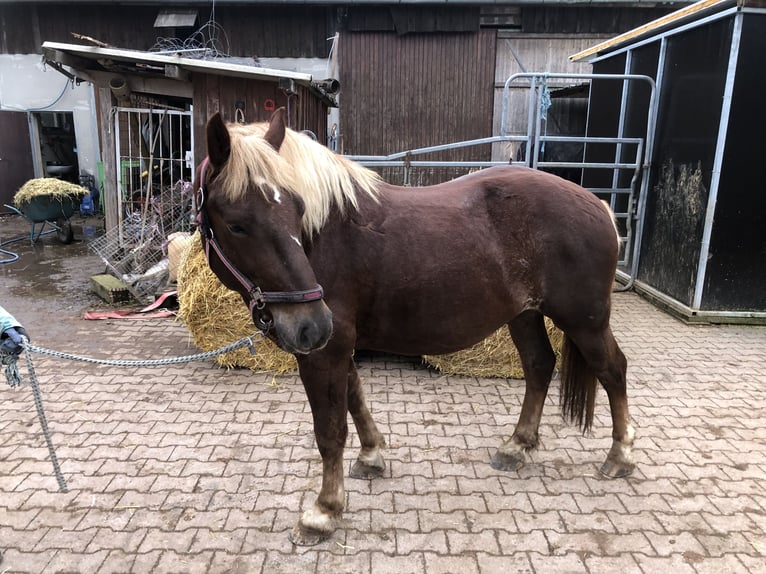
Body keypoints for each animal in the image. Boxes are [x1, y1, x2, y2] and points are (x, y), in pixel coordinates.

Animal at [195, 108, 635, 545]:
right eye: (237, 224)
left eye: (299, 210)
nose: (312, 324)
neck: (329, 233)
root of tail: (598, 205)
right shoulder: (339, 344)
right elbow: (355, 398)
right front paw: (371, 456)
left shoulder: (326, 351)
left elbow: (330, 429)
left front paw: (323, 511)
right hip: (525, 316)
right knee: (540, 366)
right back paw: (517, 447)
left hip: (585, 322)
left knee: (613, 370)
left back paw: (620, 455)